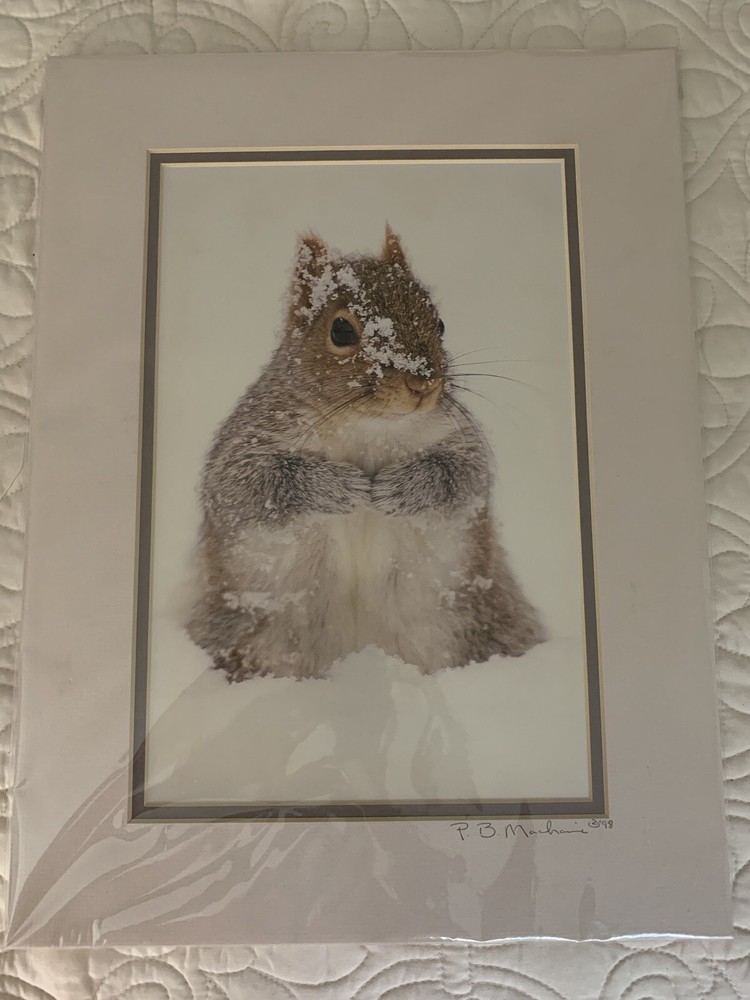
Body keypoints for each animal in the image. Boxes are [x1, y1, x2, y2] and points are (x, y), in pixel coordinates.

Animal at [186, 226, 545, 681]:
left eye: (440, 323)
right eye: (341, 331)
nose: (423, 384)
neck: (368, 426)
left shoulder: (459, 439)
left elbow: (465, 477)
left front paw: (399, 489)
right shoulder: (246, 443)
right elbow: (246, 486)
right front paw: (341, 487)